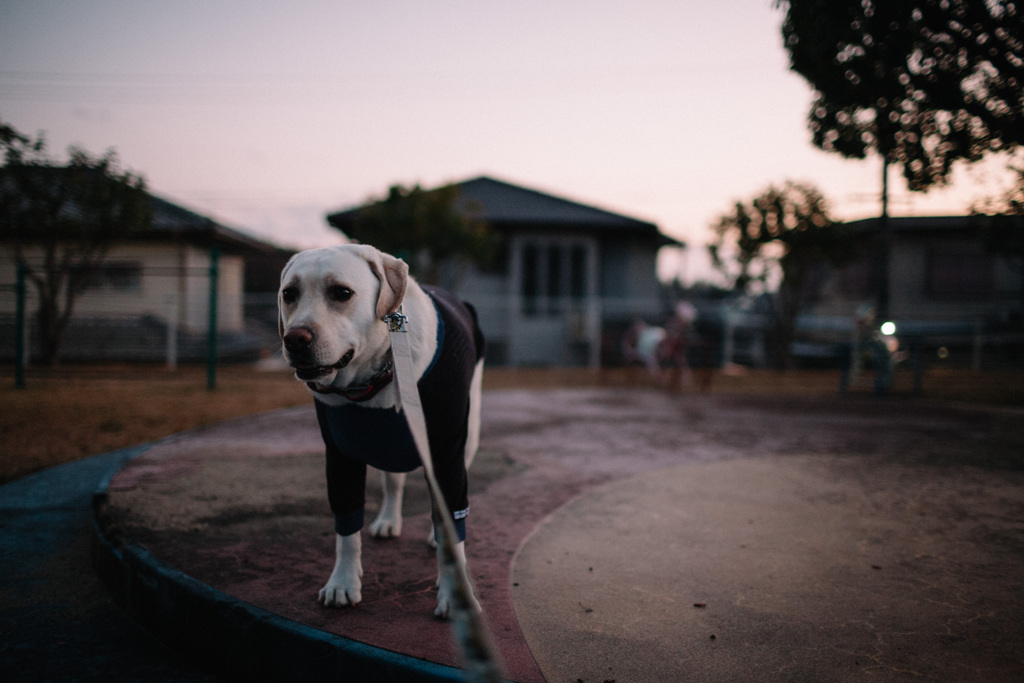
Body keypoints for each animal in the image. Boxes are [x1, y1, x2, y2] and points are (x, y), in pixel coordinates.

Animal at [278, 244, 485, 618]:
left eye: (341, 293)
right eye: (289, 294)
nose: (295, 339)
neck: (372, 378)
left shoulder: (446, 454)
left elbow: (452, 520)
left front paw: (455, 595)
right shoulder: (340, 458)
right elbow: (347, 528)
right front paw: (343, 582)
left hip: (468, 440)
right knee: (394, 483)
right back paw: (389, 520)